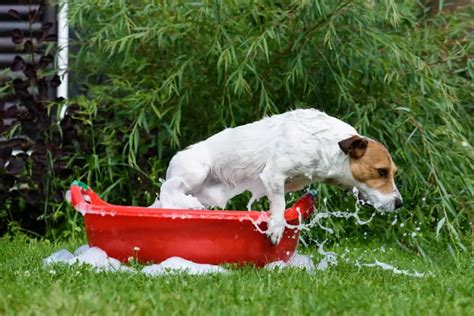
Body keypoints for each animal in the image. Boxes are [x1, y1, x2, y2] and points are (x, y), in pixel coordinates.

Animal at [157, 108, 402, 244]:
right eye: (381, 171)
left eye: (393, 172)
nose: (399, 203)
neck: (324, 144)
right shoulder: (273, 174)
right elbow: (280, 203)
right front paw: (277, 227)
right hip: (196, 170)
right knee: (167, 189)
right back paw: (189, 204)